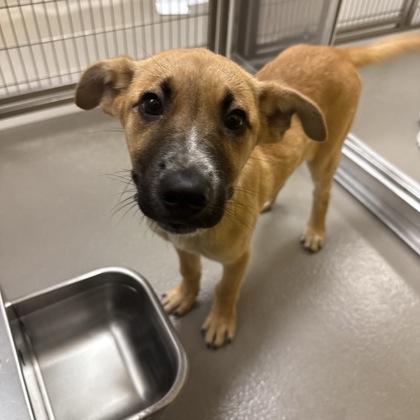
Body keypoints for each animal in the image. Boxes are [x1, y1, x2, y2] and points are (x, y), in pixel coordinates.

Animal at [75, 33, 420, 348]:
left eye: (236, 120)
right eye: (151, 103)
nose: (185, 194)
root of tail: (335, 52)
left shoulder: (239, 258)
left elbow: (226, 289)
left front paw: (221, 321)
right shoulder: (181, 244)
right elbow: (190, 270)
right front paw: (185, 295)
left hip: (326, 156)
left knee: (322, 195)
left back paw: (315, 231)